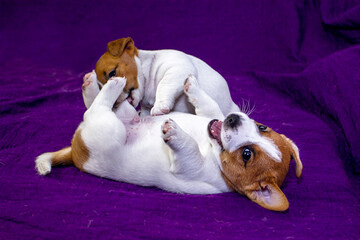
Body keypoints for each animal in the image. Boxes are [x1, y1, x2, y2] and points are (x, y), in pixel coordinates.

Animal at [35, 73, 300, 212]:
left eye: (247, 155)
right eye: (262, 127)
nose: (232, 119)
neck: (210, 145)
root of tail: (76, 152)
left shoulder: (191, 168)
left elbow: (189, 150)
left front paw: (175, 132)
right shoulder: (209, 114)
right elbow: (209, 104)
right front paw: (192, 85)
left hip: (108, 129)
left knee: (97, 108)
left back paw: (111, 85)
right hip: (125, 115)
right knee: (106, 105)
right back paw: (92, 85)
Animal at [81, 36, 239, 116]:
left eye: (112, 73)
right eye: (101, 87)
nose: (114, 103)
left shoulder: (178, 68)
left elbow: (164, 85)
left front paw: (160, 105)